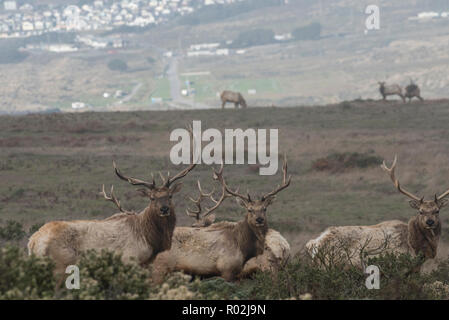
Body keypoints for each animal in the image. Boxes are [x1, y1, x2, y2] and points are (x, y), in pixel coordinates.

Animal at [304, 156, 448, 268]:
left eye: (437, 211)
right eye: (421, 211)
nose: (430, 222)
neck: (416, 247)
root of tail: (315, 244)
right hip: (332, 264)